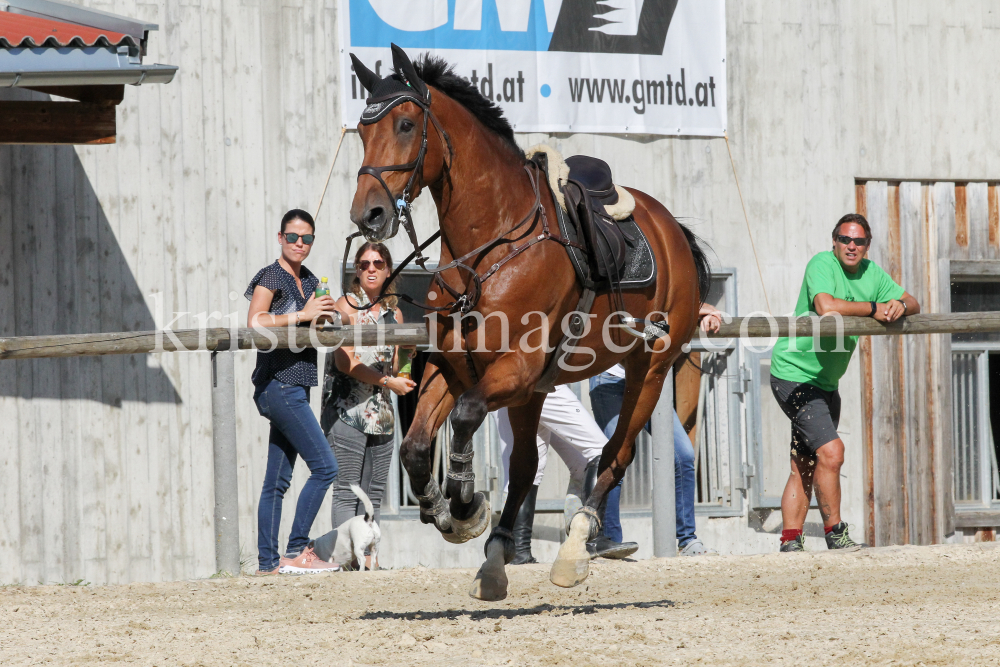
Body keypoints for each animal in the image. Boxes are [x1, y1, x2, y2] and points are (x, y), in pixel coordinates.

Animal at [352, 44, 712, 604]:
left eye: (407, 124)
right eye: (362, 131)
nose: (367, 215)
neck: (491, 246)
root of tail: (671, 227)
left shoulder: (515, 368)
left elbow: (464, 420)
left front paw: (463, 504)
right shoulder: (456, 368)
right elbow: (415, 446)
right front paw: (447, 511)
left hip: (646, 371)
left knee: (615, 454)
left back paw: (574, 552)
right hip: (538, 391)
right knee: (525, 465)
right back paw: (497, 560)